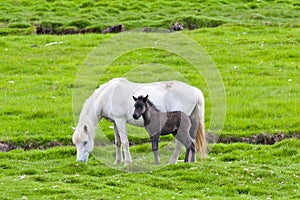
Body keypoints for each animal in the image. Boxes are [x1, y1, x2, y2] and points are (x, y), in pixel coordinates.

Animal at [72, 77, 206, 164]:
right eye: (75, 143)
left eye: (85, 142)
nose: (79, 162)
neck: (108, 95)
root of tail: (194, 91)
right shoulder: (115, 122)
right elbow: (118, 142)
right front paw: (117, 162)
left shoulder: (120, 121)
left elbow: (125, 142)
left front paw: (127, 162)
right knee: (191, 141)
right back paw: (191, 161)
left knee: (180, 143)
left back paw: (172, 161)